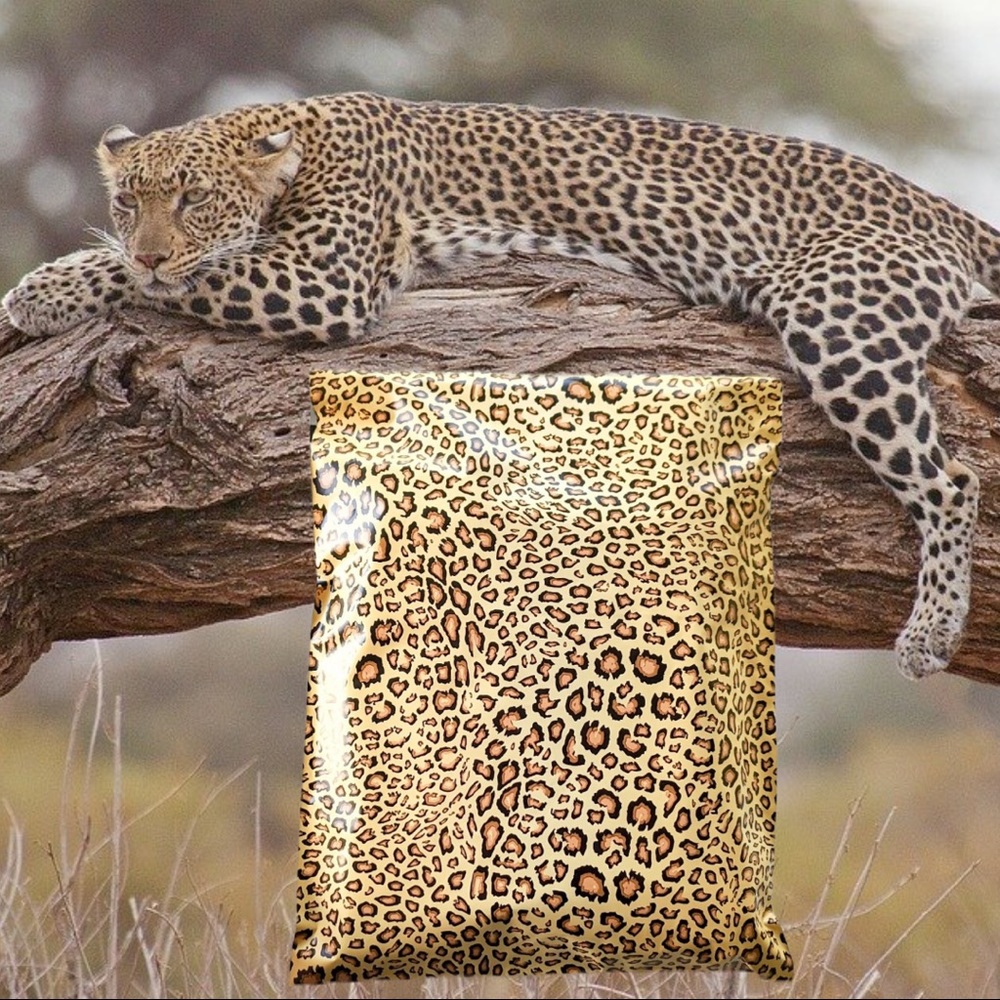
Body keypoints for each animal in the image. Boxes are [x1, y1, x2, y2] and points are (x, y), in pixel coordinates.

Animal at [3, 91, 994, 680]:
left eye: (192, 198)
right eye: (130, 199)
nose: (148, 242)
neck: (298, 143)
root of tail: (936, 205)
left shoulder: (322, 281)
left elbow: (174, 276)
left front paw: (44, 289)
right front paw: (63, 279)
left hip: (838, 315)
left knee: (952, 480)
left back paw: (929, 634)